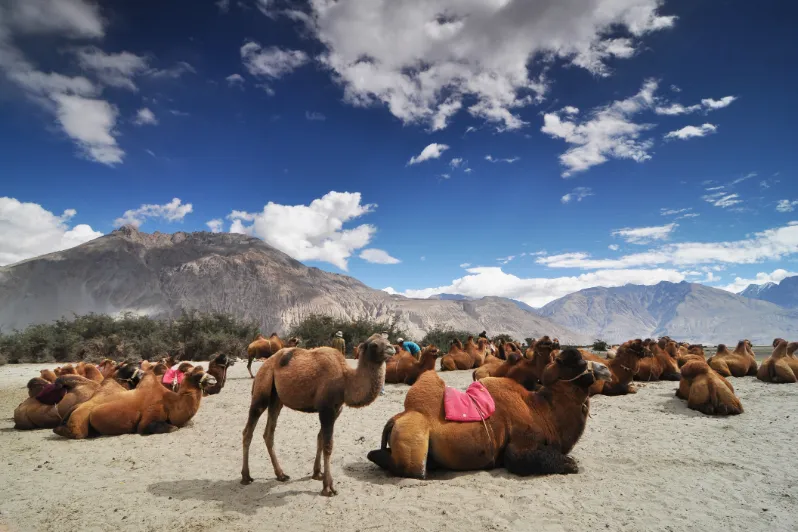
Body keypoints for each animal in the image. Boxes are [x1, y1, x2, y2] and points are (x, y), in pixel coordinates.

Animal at [54, 364, 217, 438]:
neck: (172, 403)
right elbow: (170, 427)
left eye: (204, 370)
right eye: (196, 374)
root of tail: (76, 407)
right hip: (80, 422)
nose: (213, 379)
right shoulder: (148, 418)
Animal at [241, 334, 396, 496]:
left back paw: (281, 474)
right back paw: (246, 477)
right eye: (374, 345)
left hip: (276, 399)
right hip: (262, 390)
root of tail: (265, 364)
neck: (345, 380)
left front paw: (317, 473)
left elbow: (320, 438)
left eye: (387, 340)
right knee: (248, 430)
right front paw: (328, 487)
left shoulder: (336, 410)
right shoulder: (326, 409)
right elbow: (328, 445)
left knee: (268, 433)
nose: (391, 349)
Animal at [368, 350, 612, 478]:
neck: (542, 411)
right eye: (578, 362)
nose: (606, 370)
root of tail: (397, 418)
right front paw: (570, 463)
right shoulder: (521, 443)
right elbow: (520, 458)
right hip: (413, 442)